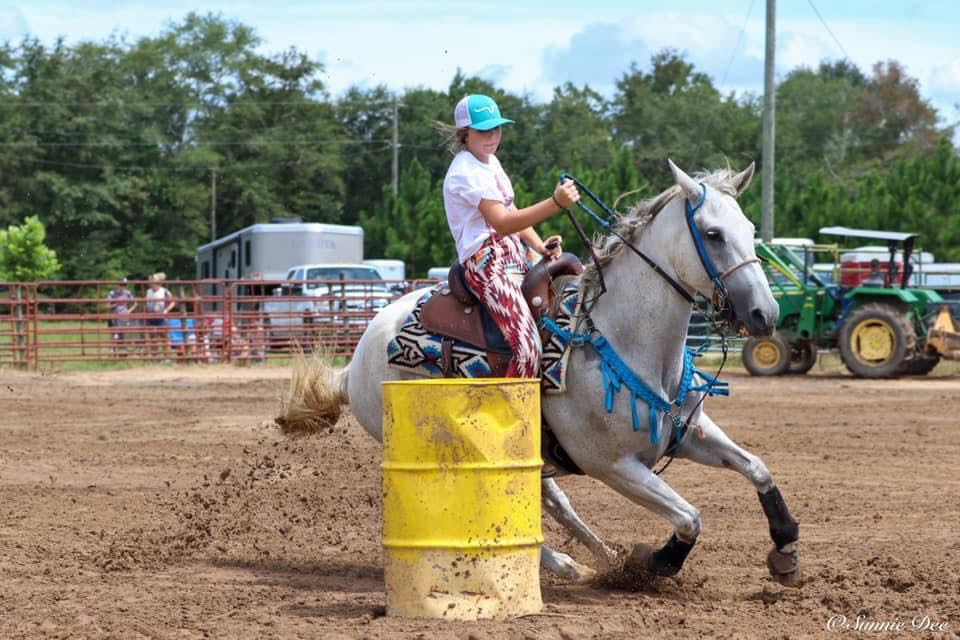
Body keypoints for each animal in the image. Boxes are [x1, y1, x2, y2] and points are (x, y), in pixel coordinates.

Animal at [280, 159, 804, 584]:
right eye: (713, 234)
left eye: (750, 227)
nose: (765, 313)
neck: (624, 339)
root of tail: (355, 363)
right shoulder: (613, 465)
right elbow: (689, 517)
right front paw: (654, 565)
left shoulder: (687, 431)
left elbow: (758, 468)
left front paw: (785, 549)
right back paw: (566, 563)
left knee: (554, 501)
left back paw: (596, 558)